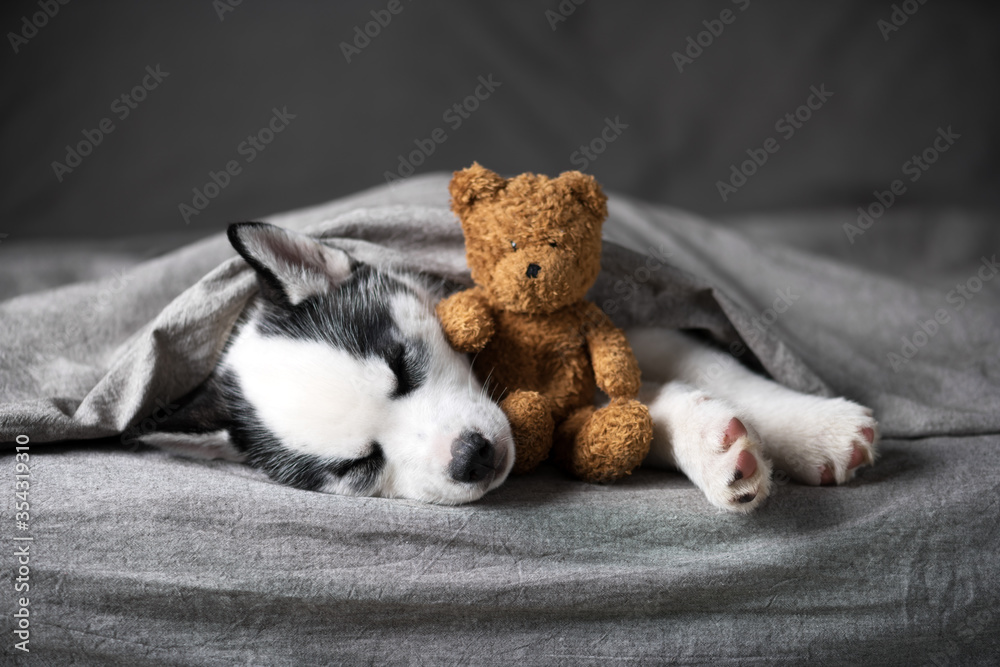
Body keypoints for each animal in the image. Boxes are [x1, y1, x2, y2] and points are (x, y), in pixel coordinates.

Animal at [145, 223, 880, 512]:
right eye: (359, 466)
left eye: (403, 363)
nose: (472, 456)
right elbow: (645, 413)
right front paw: (717, 447)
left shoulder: (628, 322)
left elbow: (718, 370)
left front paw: (814, 427)